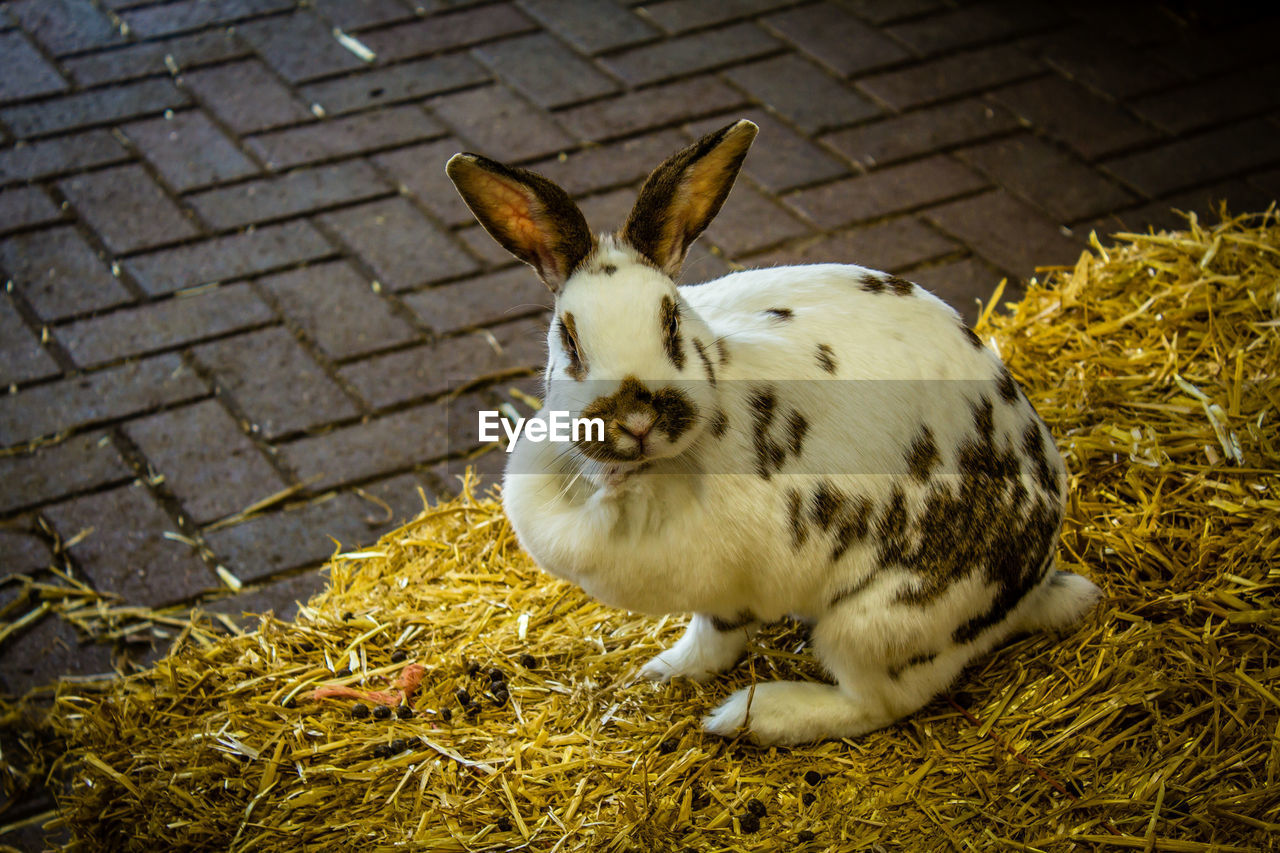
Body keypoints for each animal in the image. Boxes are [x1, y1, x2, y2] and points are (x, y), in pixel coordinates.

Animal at [448, 119, 1100, 742]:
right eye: (570, 339)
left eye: (671, 322)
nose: (637, 420)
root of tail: (1034, 584)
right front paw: (658, 673)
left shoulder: (731, 583)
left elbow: (716, 637)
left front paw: (675, 672)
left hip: (879, 625)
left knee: (877, 703)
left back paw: (753, 717)